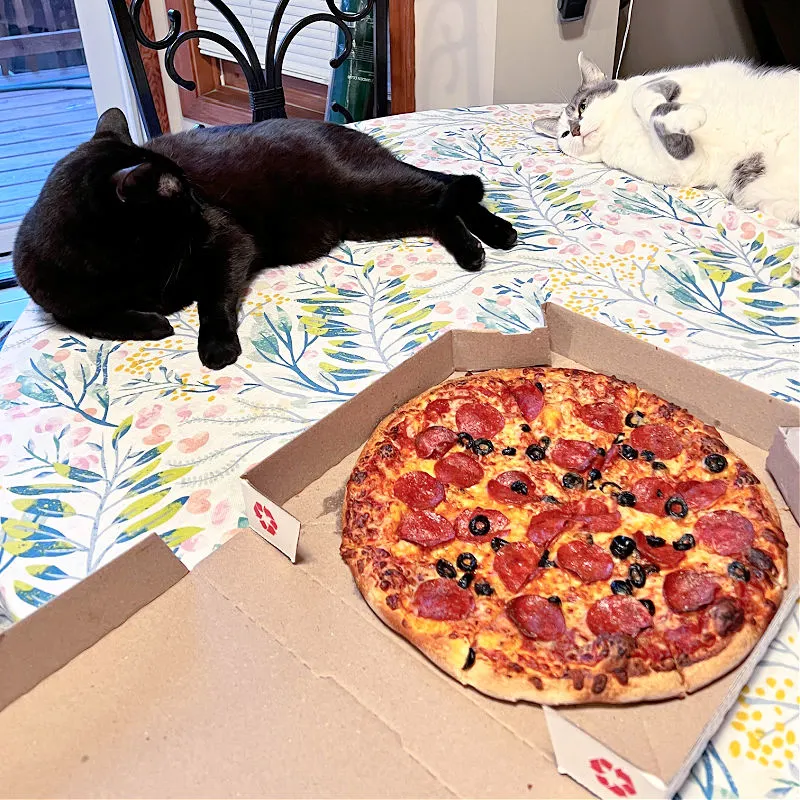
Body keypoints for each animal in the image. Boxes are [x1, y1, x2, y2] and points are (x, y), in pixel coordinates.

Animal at [14, 110, 520, 372]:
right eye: (182, 192)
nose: (200, 198)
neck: (130, 262)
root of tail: (349, 131)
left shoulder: (227, 240)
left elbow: (212, 299)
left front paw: (215, 345)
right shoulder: (56, 300)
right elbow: (88, 319)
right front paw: (153, 325)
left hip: (368, 190)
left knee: (450, 187)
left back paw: (493, 236)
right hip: (372, 216)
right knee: (438, 207)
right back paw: (477, 245)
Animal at [536, 53, 796, 223]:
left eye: (582, 106)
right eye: (565, 134)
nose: (576, 130)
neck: (618, 125)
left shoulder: (677, 78)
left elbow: (640, 94)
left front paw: (690, 113)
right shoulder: (684, 165)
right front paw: (688, 117)